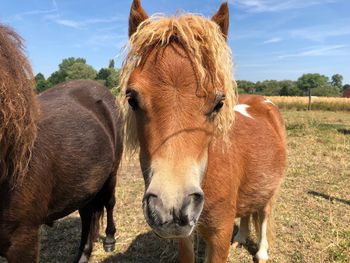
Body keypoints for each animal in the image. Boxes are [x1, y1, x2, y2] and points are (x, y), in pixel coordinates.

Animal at [119, 1, 286, 262]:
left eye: (219, 102)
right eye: (131, 98)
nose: (171, 207)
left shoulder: (219, 235)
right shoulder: (185, 235)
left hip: (271, 189)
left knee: (264, 214)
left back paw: (262, 252)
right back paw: (240, 238)